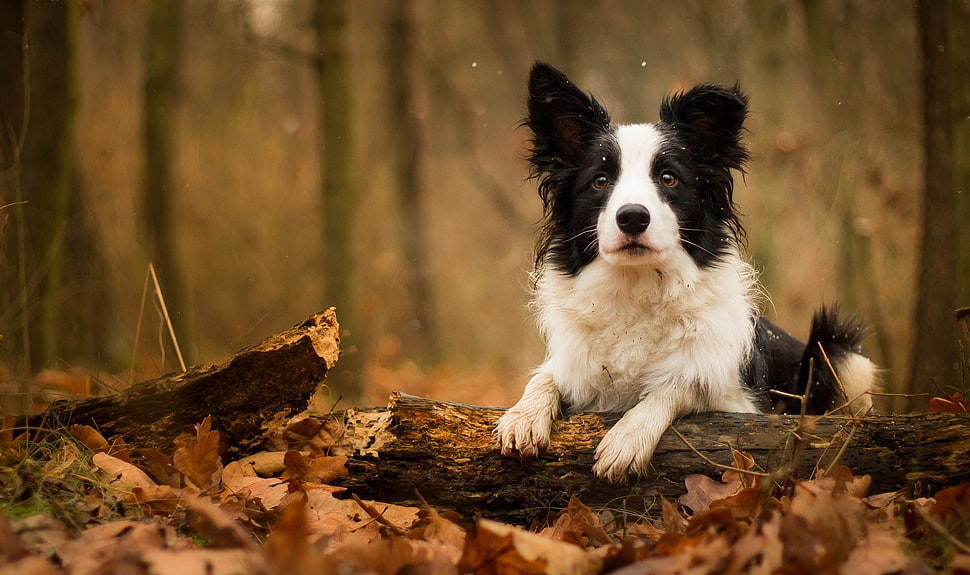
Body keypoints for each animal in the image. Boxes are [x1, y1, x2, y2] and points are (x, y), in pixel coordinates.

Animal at [496, 63, 872, 484]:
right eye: (600, 181)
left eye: (668, 178)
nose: (632, 217)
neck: (638, 286)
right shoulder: (574, 364)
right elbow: (545, 376)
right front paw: (522, 417)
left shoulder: (737, 402)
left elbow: (681, 384)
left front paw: (627, 438)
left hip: (839, 352)